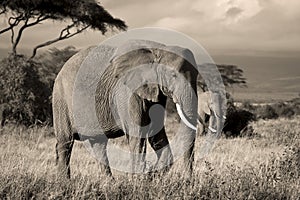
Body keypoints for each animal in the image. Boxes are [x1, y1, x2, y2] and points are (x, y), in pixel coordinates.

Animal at [52, 39, 225, 178]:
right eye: (173, 75)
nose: (188, 179)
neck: (158, 50)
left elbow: (155, 132)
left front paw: (151, 175)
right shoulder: (126, 91)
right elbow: (138, 134)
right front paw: (139, 181)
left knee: (99, 145)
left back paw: (110, 183)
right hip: (60, 98)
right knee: (65, 143)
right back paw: (64, 183)